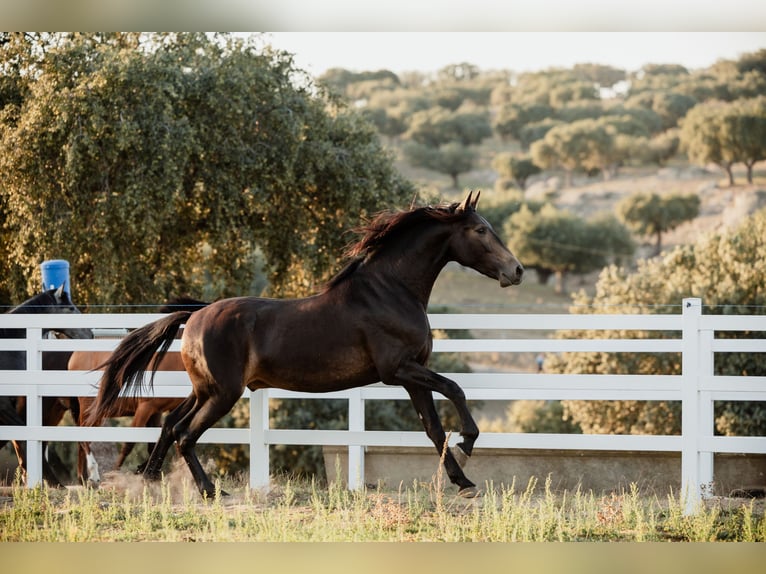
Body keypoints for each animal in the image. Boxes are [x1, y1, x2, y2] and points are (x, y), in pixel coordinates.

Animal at [87, 194, 524, 500]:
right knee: (185, 434)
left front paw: (463, 481)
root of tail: (195, 315)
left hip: (204, 390)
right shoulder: (398, 370)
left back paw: (150, 482)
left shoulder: (412, 376)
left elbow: (433, 428)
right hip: (223, 393)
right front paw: (468, 442)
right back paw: (209, 492)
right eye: (480, 231)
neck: (390, 291)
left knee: (170, 425)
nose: (516, 270)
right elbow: (455, 388)